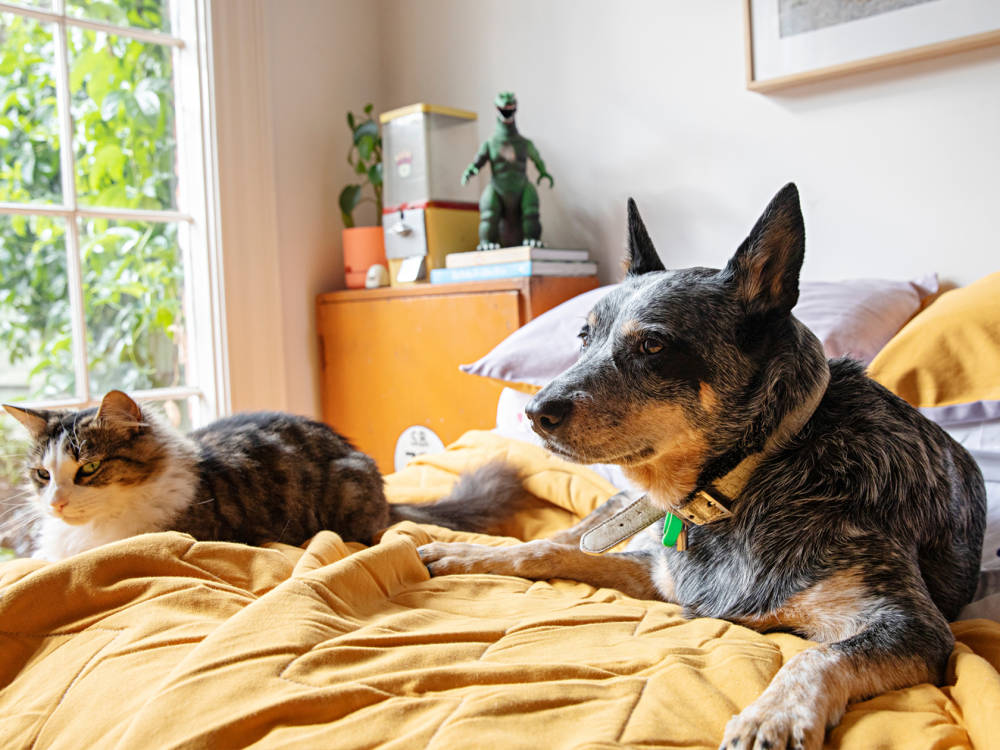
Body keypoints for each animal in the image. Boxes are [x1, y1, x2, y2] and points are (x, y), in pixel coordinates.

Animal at [418, 184, 988, 750]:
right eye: (584, 337)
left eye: (652, 345)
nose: (535, 413)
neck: (752, 476)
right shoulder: (659, 572)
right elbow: (545, 551)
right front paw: (467, 554)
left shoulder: (912, 626)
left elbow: (816, 656)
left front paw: (772, 715)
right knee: (563, 537)